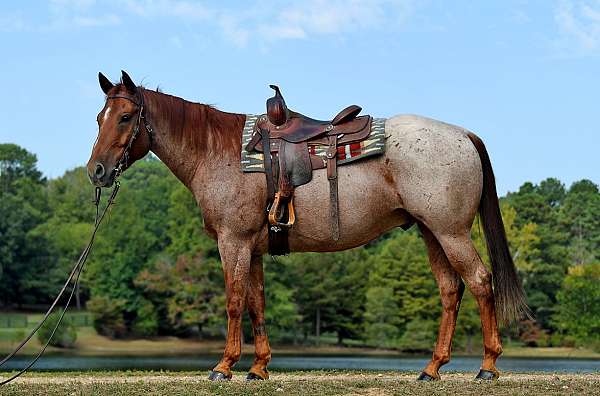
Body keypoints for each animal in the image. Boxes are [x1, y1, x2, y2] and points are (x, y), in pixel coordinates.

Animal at [86, 70, 528, 380]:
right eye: (99, 118)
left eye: (125, 117)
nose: (97, 171)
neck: (219, 152)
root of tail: (462, 134)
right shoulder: (253, 247)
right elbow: (257, 303)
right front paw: (258, 368)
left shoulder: (233, 242)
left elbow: (233, 301)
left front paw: (224, 366)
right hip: (429, 231)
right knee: (451, 290)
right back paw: (432, 368)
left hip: (451, 231)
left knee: (479, 282)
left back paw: (488, 366)